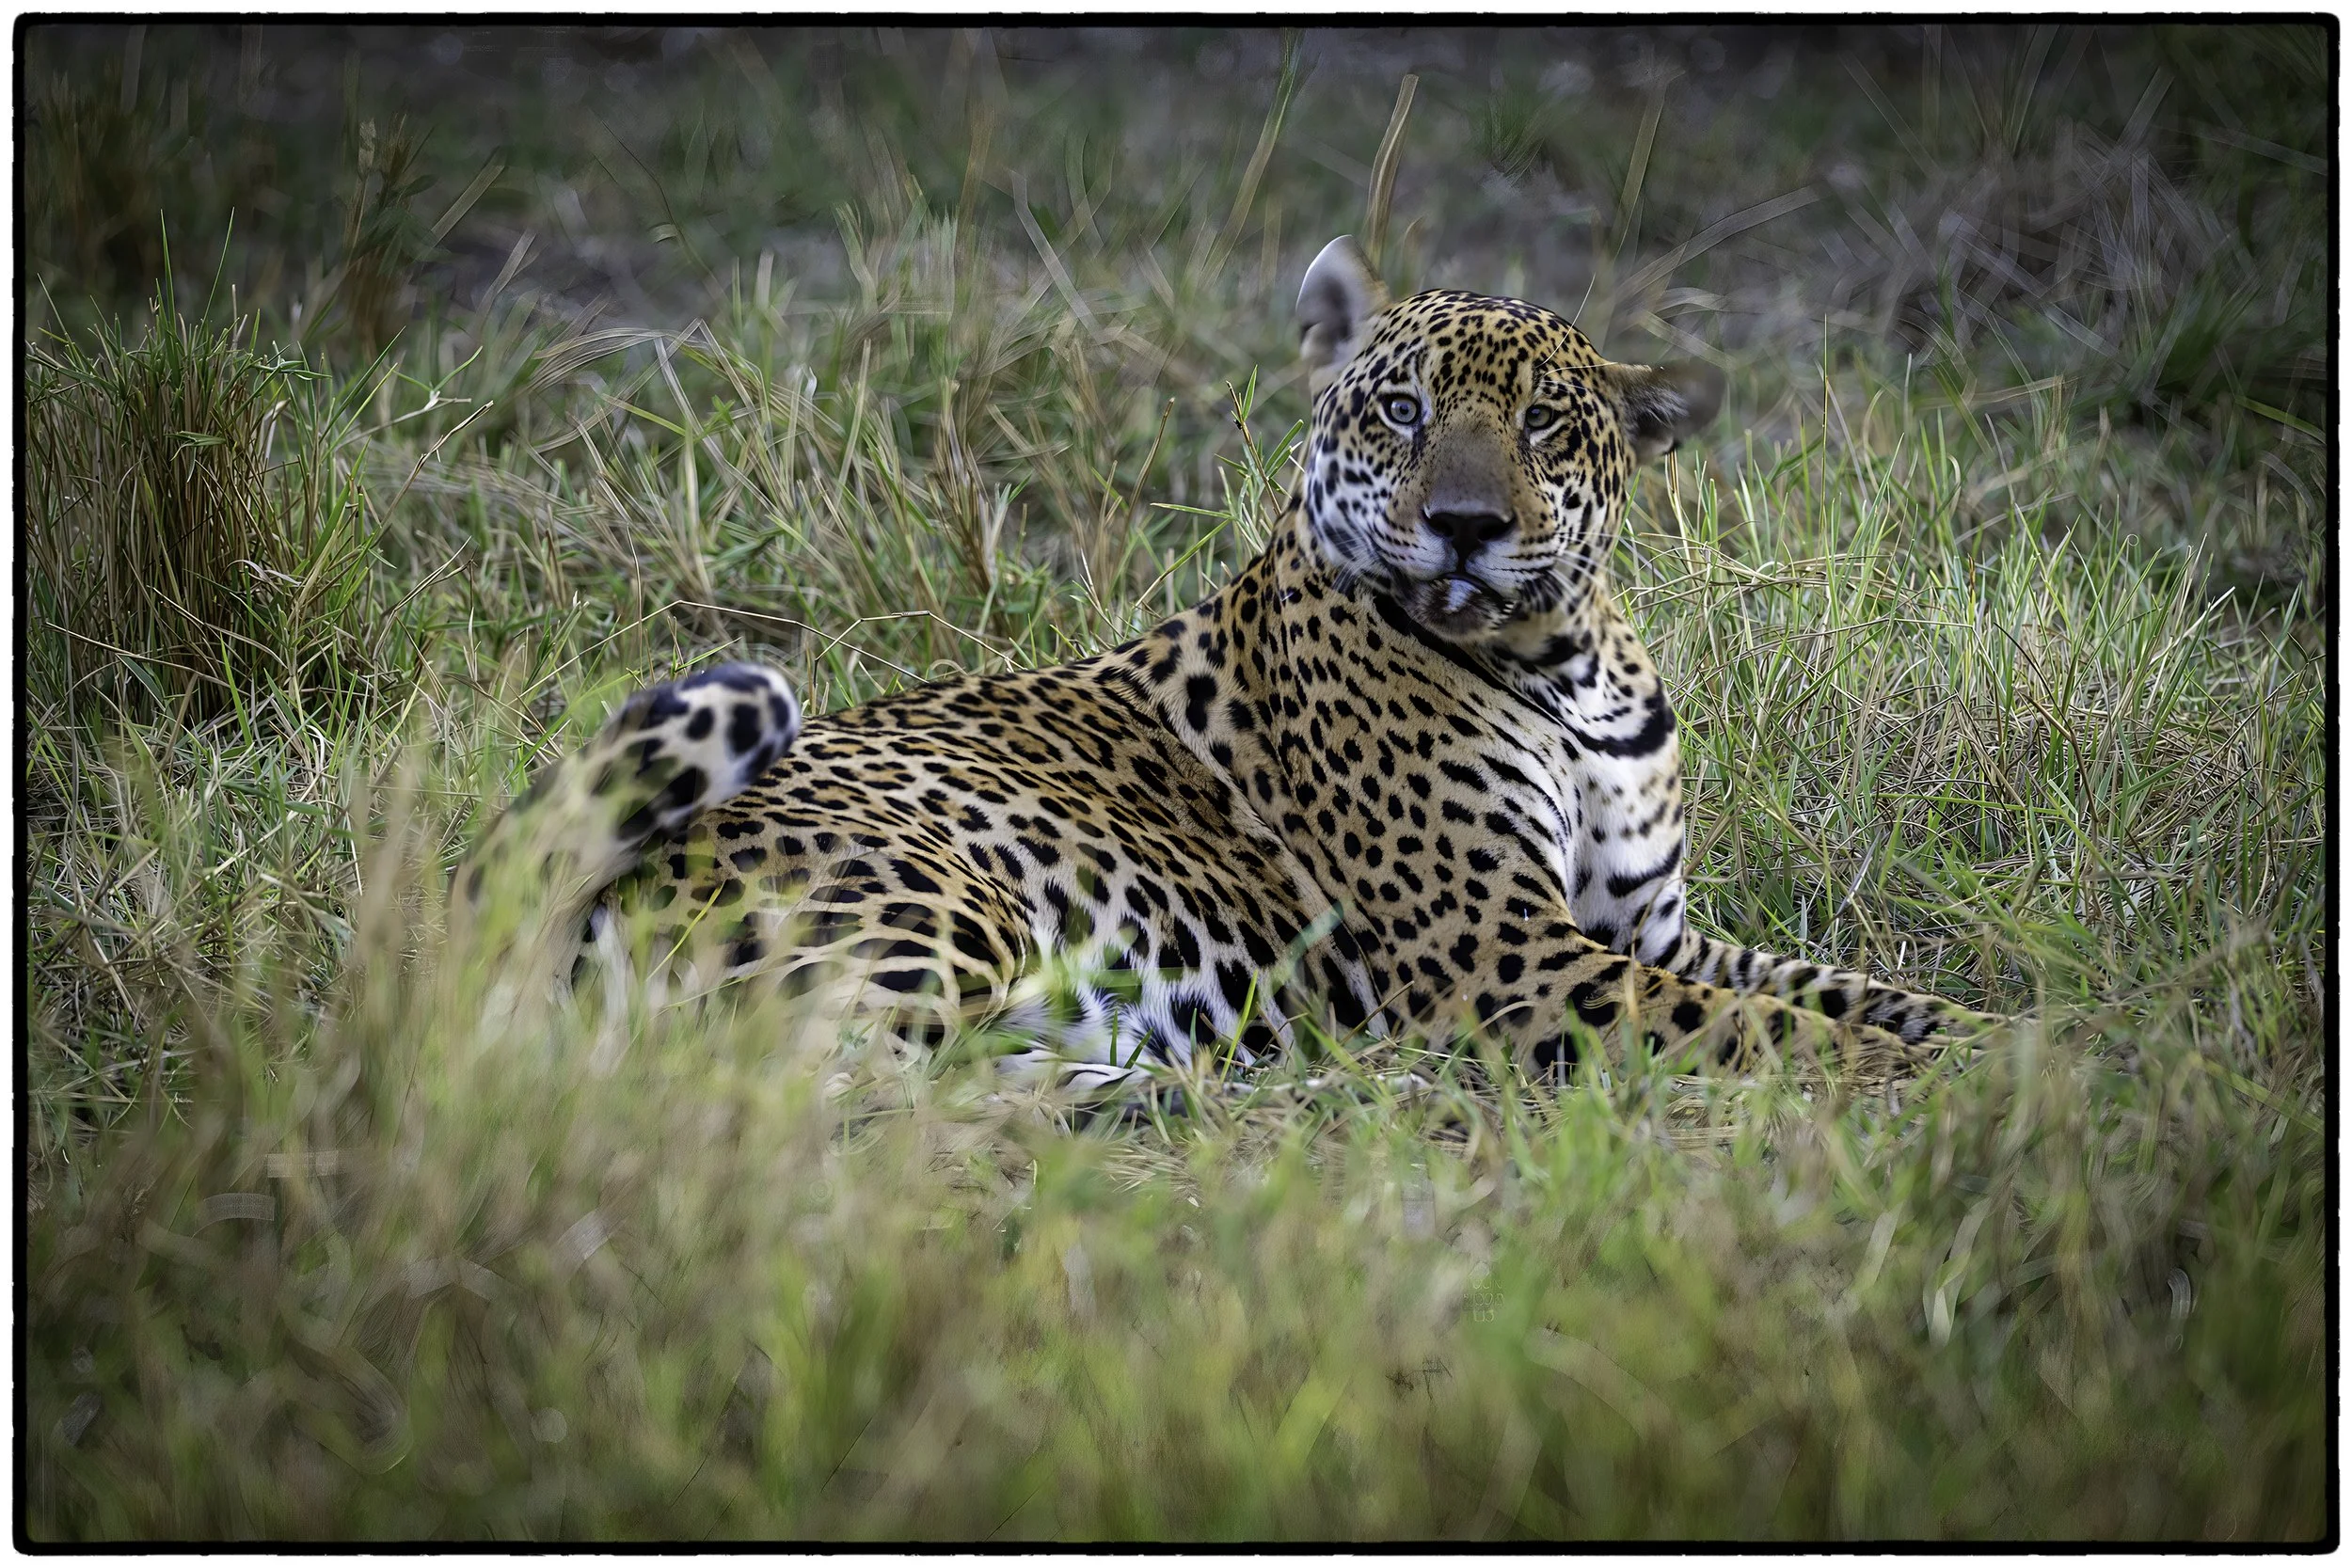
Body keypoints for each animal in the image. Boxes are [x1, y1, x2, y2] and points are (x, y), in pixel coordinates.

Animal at [454, 235, 1993, 1095]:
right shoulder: (1506, 953)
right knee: (819, 1099)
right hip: (932, 902)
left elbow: (1834, 981)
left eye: (1547, 425)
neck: (1565, 664)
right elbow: (1765, 1025)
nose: (1468, 523)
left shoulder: (1648, 929)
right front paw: (1939, 1081)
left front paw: (2008, 1034)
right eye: (1401, 408)